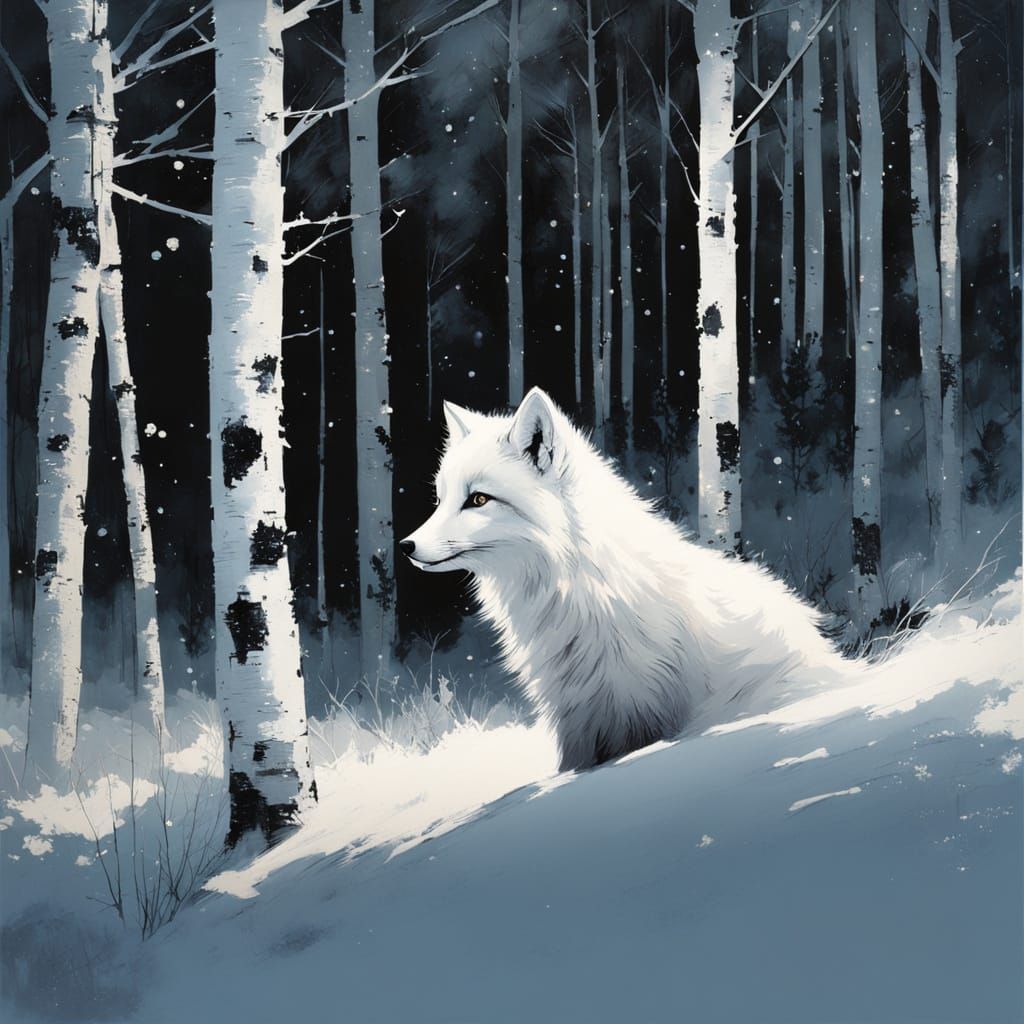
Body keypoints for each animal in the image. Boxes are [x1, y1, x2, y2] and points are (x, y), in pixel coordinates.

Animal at [401, 387, 851, 772]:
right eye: (440, 499)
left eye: (478, 499)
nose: (406, 545)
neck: (580, 585)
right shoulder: (578, 717)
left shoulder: (631, 711)